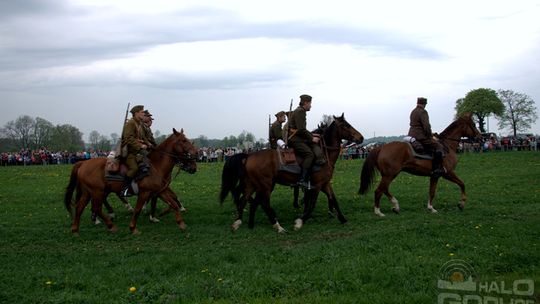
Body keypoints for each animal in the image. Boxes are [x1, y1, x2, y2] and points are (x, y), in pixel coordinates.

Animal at [64, 128, 197, 235]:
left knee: (81, 207)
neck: (155, 166)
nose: (196, 154)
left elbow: (173, 203)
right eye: (183, 140)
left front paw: (180, 223)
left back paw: (76, 229)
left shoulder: (160, 190)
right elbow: (138, 209)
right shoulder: (145, 192)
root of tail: (83, 163)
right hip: (97, 191)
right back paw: (110, 224)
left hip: (89, 192)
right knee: (97, 207)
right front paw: (133, 228)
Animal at [218, 114, 362, 233]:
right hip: (265, 185)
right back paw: (277, 226)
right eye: (346, 125)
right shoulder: (317, 185)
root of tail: (248, 156)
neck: (324, 154)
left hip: (253, 184)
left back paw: (242, 223)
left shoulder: (325, 184)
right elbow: (312, 204)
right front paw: (300, 222)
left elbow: (333, 200)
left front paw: (343, 219)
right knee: (262, 203)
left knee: (245, 199)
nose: (360, 137)